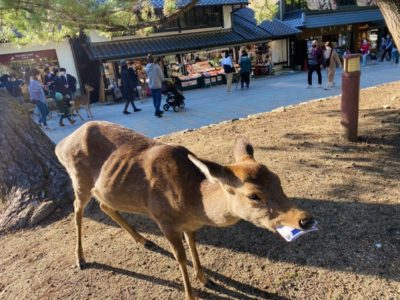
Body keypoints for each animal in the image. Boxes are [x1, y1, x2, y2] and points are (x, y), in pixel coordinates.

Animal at [54, 120, 316, 298]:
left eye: (277, 179)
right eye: (253, 195)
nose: (305, 220)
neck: (194, 202)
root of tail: (60, 144)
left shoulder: (190, 224)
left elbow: (193, 245)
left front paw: (206, 279)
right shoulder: (163, 219)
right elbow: (180, 256)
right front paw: (191, 294)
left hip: (105, 189)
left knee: (104, 204)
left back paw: (144, 240)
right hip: (79, 180)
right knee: (77, 210)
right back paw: (80, 259)